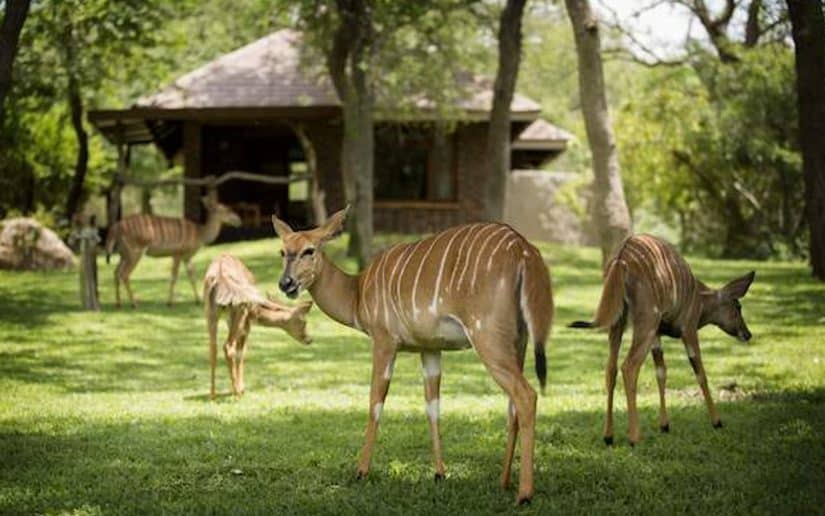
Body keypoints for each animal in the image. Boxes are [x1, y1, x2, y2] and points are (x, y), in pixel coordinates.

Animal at [101, 196, 240, 304]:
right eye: (226, 210)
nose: (238, 220)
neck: (199, 233)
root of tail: (116, 227)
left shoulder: (186, 257)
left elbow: (191, 275)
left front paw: (198, 300)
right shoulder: (177, 253)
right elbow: (174, 276)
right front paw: (170, 302)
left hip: (123, 254)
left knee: (116, 272)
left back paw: (118, 303)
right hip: (134, 252)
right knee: (124, 274)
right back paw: (134, 304)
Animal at [204, 254, 312, 400]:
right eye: (304, 321)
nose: (309, 339)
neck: (257, 311)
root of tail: (220, 277)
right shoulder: (247, 322)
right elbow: (241, 353)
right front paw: (241, 389)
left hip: (210, 311)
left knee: (213, 349)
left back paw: (213, 395)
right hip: (239, 311)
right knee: (228, 347)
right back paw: (237, 394)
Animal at [272, 207, 552, 504]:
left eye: (309, 250)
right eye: (283, 251)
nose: (286, 283)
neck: (357, 292)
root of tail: (523, 250)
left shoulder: (384, 341)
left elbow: (375, 403)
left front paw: (361, 471)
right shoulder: (429, 348)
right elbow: (433, 408)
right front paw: (440, 474)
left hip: (487, 337)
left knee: (526, 395)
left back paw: (524, 494)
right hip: (518, 341)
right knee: (513, 405)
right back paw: (503, 482)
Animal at [568, 236, 752, 446]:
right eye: (737, 306)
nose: (747, 334)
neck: (699, 299)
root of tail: (621, 261)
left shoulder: (657, 335)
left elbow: (661, 372)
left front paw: (664, 425)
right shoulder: (688, 329)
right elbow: (700, 372)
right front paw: (717, 422)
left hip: (618, 324)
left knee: (611, 369)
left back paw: (608, 436)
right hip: (646, 321)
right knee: (629, 366)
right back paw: (634, 437)